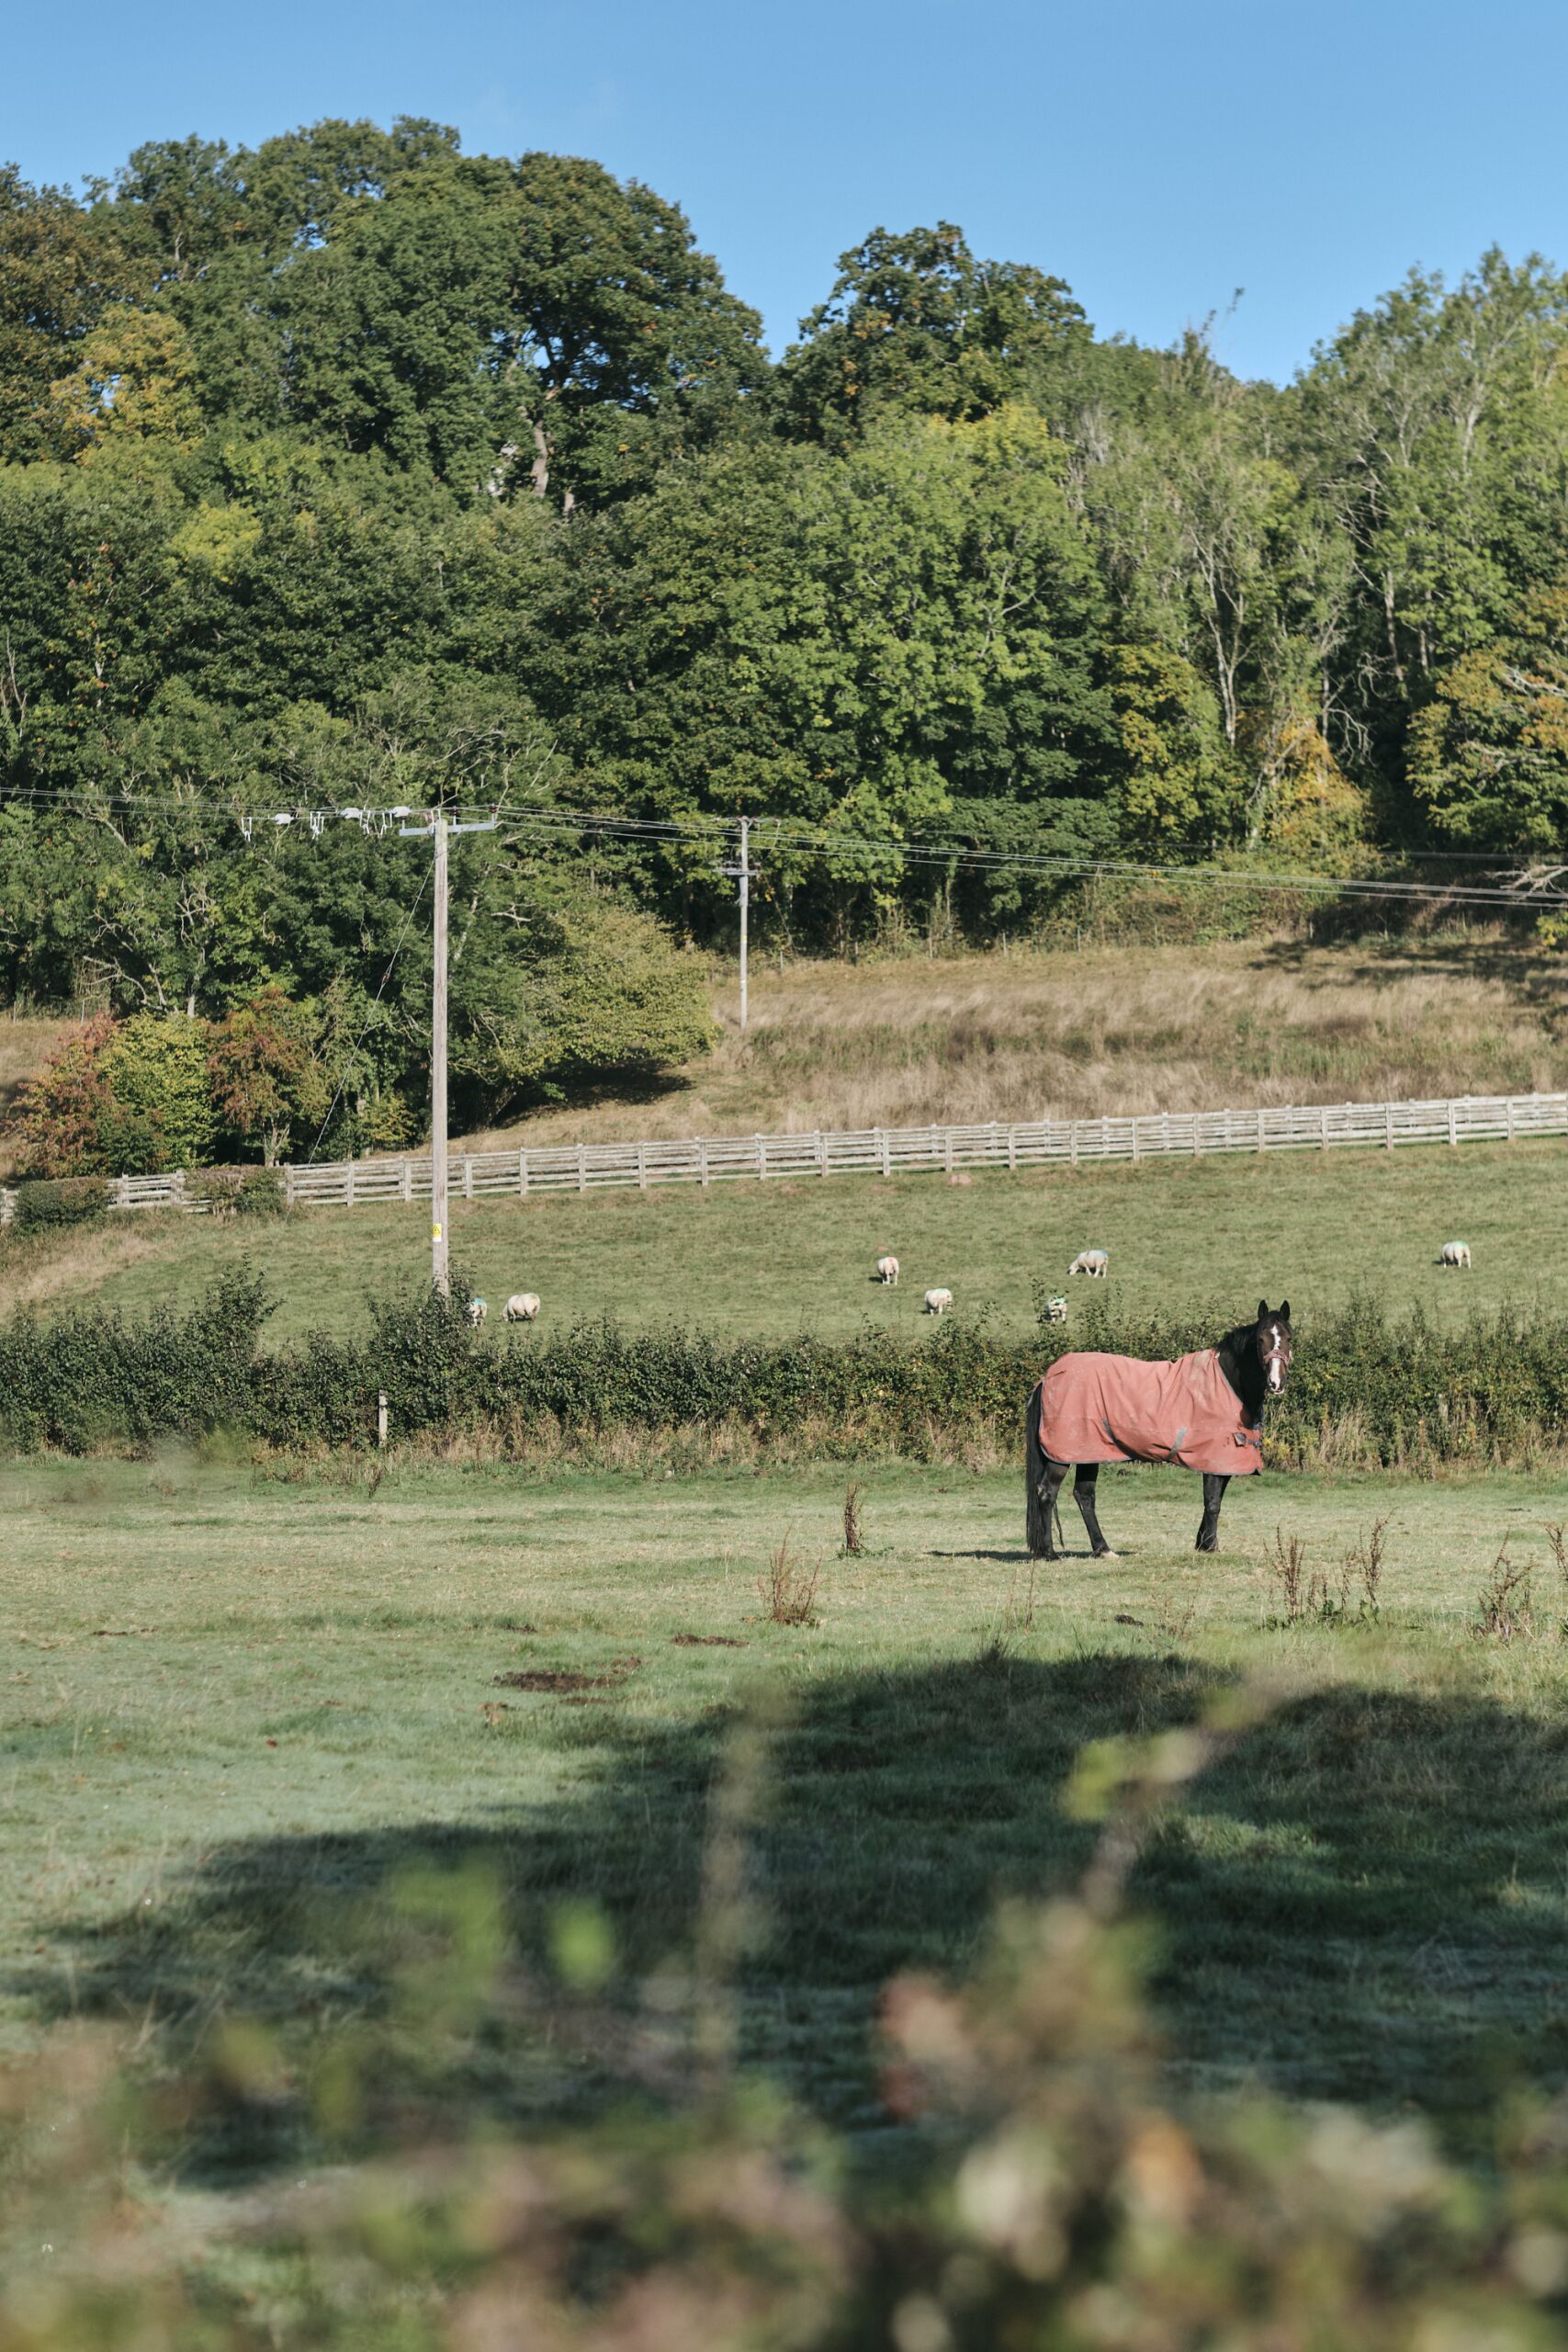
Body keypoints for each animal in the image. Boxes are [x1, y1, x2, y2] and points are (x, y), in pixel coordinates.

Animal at [1024, 1300, 1292, 1560]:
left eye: (1288, 1337)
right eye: (1260, 1339)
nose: (1276, 1383)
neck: (1229, 1384)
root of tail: (1048, 1378)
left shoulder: (1223, 1462)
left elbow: (1214, 1501)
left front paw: (1203, 1544)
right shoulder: (1214, 1458)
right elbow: (1213, 1502)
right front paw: (1210, 1547)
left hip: (1090, 1452)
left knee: (1085, 1495)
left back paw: (1103, 1550)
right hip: (1063, 1454)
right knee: (1047, 1492)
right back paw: (1049, 1553)